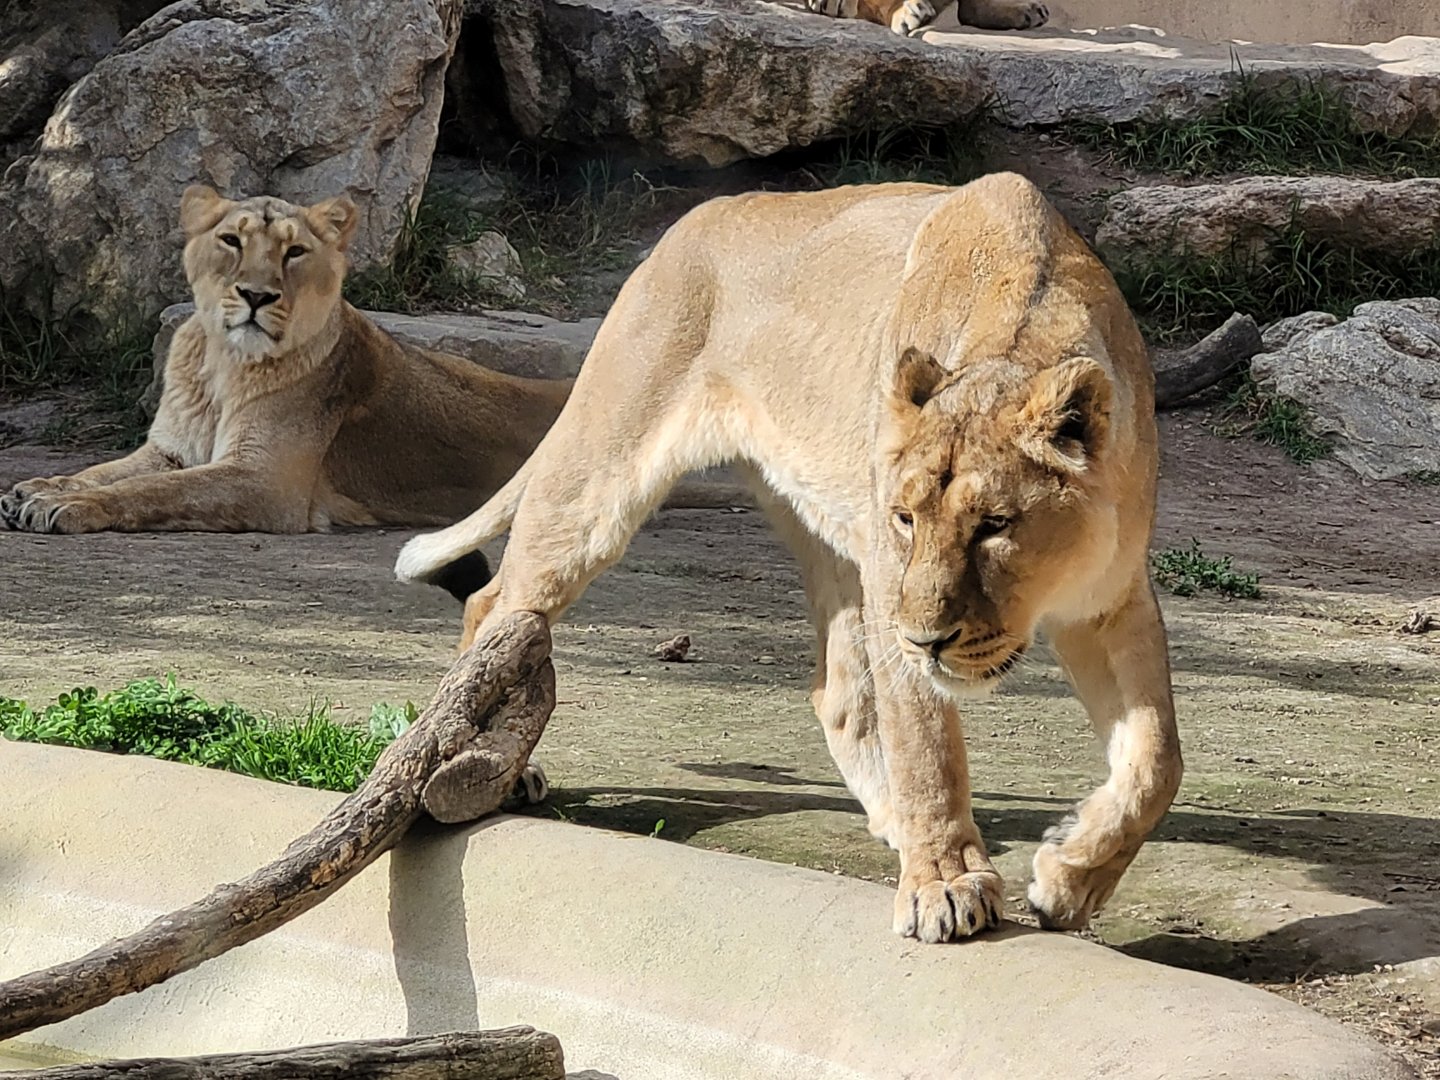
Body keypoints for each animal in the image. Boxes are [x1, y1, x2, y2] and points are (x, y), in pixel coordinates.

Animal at [394, 173, 1182, 943]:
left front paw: (1071, 882)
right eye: (906, 519)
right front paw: (946, 885)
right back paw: (494, 769)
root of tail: (691, 224)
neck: (1022, 331)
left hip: (828, 534)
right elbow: (927, 746)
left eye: (994, 525)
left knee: (836, 692)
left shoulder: (1111, 599)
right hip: (601, 476)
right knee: (497, 602)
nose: (929, 641)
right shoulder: (893, 579)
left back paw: (894, 819)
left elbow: (1156, 762)